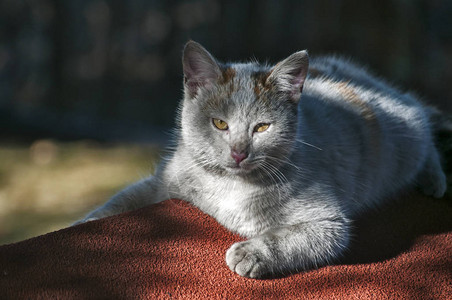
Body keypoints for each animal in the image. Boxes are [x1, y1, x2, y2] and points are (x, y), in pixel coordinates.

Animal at [75, 40, 448, 278]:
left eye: (262, 127)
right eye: (220, 124)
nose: (239, 151)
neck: (227, 185)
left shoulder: (327, 222)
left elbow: (292, 239)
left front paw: (251, 254)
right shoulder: (163, 182)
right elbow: (122, 201)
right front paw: (87, 223)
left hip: (405, 136)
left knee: (424, 124)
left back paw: (434, 179)